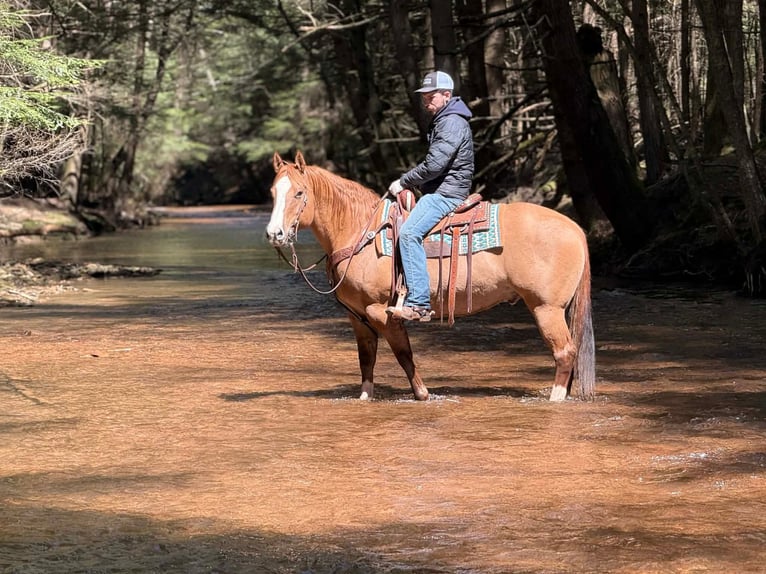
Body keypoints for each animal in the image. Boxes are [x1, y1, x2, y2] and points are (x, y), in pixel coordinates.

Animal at [266, 151, 595, 402]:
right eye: (272, 193)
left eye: (299, 193)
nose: (274, 234)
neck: (360, 230)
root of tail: (574, 228)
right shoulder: (357, 316)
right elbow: (366, 359)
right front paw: (365, 398)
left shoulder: (381, 311)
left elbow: (404, 354)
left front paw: (423, 395)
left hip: (546, 308)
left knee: (564, 352)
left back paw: (554, 399)